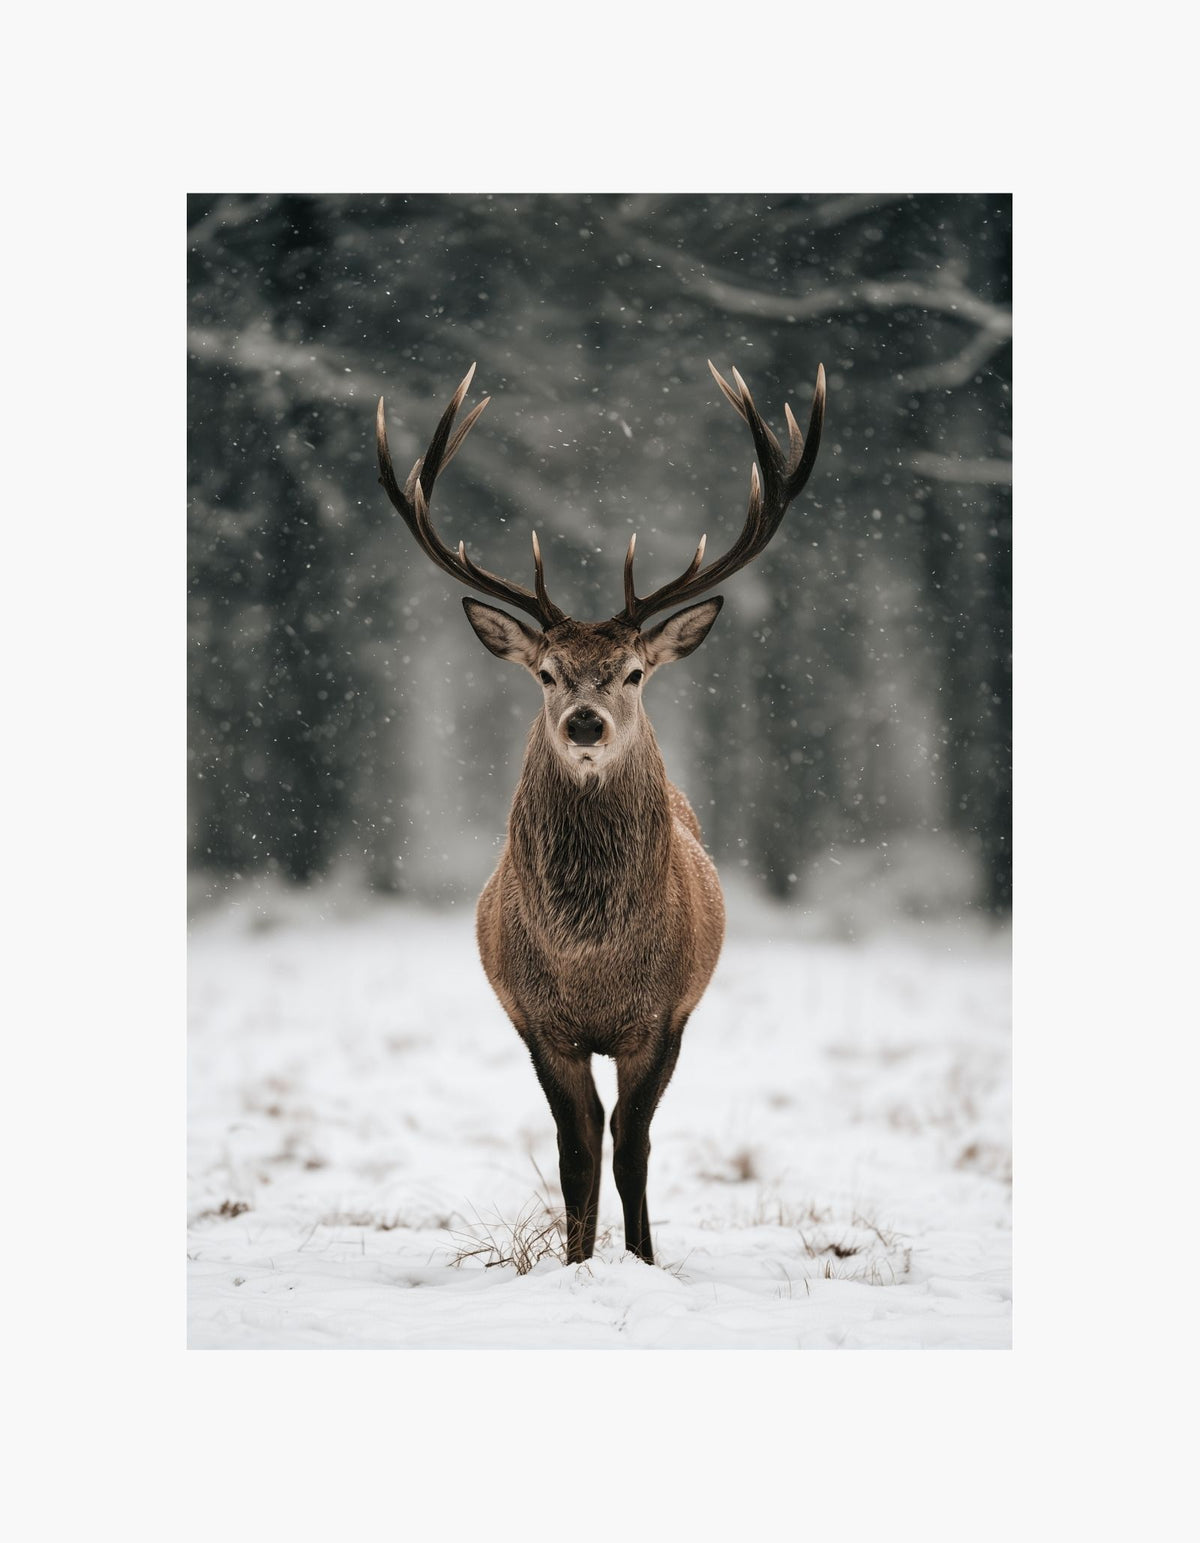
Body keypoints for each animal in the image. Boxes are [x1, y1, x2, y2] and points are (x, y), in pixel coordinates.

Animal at [375, 358, 825, 1266]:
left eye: (634, 671)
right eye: (547, 673)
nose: (585, 722)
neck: (591, 963)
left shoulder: (663, 1015)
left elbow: (633, 1144)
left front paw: (642, 1260)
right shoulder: (537, 1020)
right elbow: (576, 1146)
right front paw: (580, 1262)